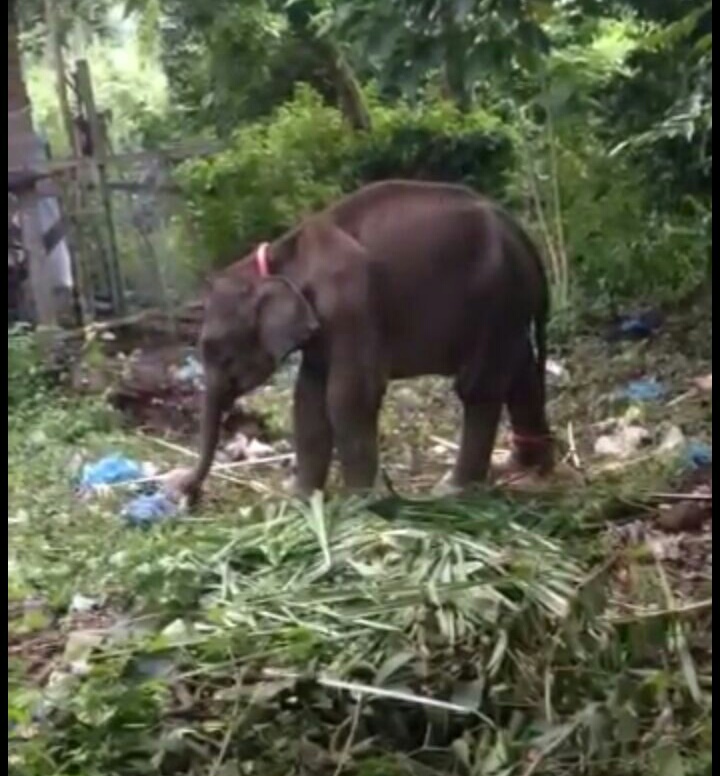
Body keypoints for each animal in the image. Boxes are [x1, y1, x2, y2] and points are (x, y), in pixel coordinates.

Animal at [177, 180, 556, 504]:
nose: (186, 491)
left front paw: (361, 504)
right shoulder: (323, 327)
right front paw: (301, 499)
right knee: (522, 373)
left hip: (497, 299)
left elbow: (349, 395)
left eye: (218, 351)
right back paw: (523, 470)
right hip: (510, 308)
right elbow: (308, 398)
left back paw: (453, 489)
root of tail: (523, 236)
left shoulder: (350, 302)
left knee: (479, 388)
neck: (280, 258)